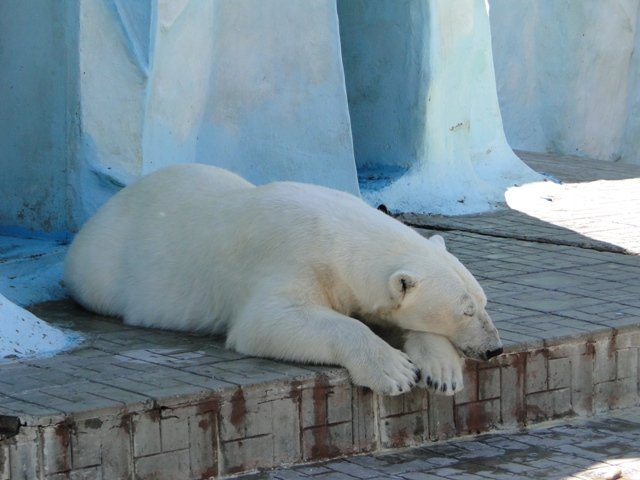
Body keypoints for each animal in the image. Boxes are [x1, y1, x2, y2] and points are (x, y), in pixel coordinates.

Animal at [66, 163, 504, 396]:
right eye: (465, 311)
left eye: (482, 302)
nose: (495, 349)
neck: (341, 235)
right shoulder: (293, 258)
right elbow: (270, 320)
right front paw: (394, 371)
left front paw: (442, 372)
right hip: (102, 268)